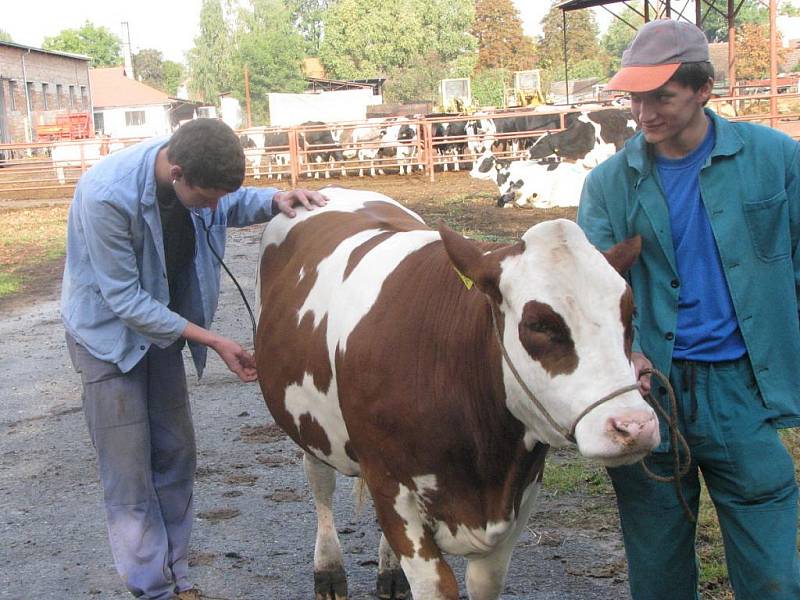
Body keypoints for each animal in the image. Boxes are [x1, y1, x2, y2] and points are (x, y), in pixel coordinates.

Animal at [253, 189, 660, 600]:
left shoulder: (521, 493)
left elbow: (483, 584)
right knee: (320, 482)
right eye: (539, 324)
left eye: (630, 313)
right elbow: (435, 585)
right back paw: (329, 571)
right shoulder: (390, 484)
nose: (634, 427)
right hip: (309, 424)